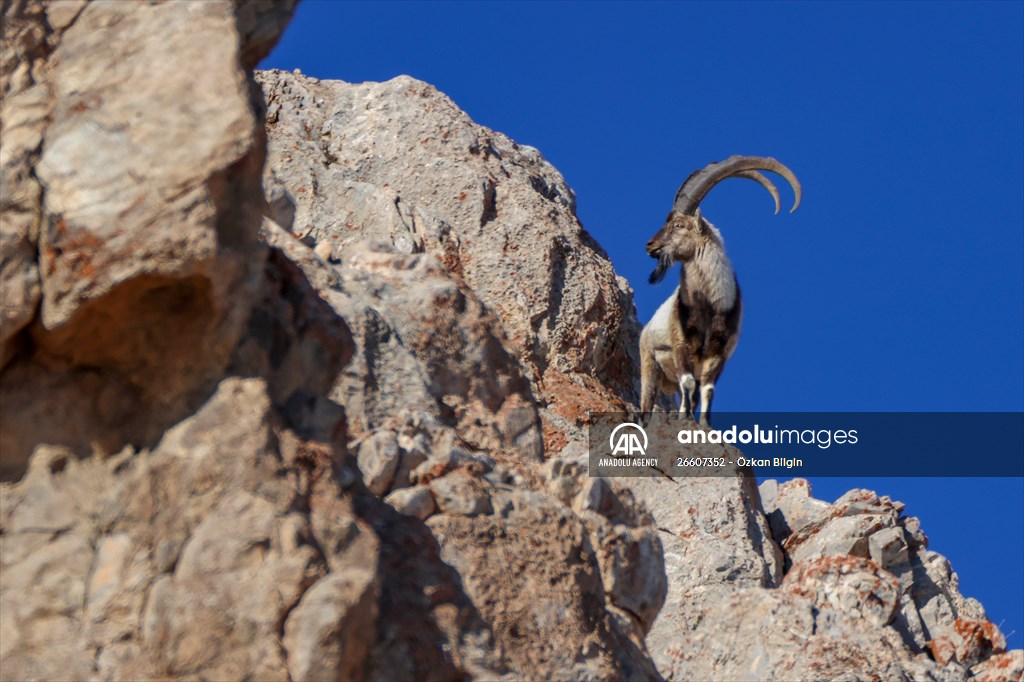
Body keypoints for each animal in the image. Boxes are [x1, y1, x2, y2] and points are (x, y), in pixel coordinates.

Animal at [639, 156, 801, 425]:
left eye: (678, 224)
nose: (650, 245)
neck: (709, 304)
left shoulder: (719, 349)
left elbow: (707, 389)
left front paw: (704, 424)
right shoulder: (682, 342)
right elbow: (688, 382)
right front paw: (686, 419)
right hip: (649, 362)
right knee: (648, 401)